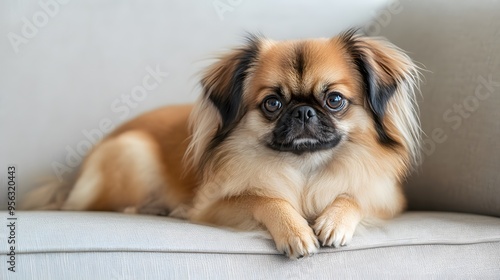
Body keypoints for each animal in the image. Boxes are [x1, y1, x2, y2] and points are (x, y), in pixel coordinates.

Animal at [23, 29, 422, 260]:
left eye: (335, 100)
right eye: (272, 104)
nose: (303, 111)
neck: (303, 167)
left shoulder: (388, 200)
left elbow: (353, 196)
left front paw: (334, 222)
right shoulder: (214, 205)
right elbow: (264, 198)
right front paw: (295, 230)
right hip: (132, 153)